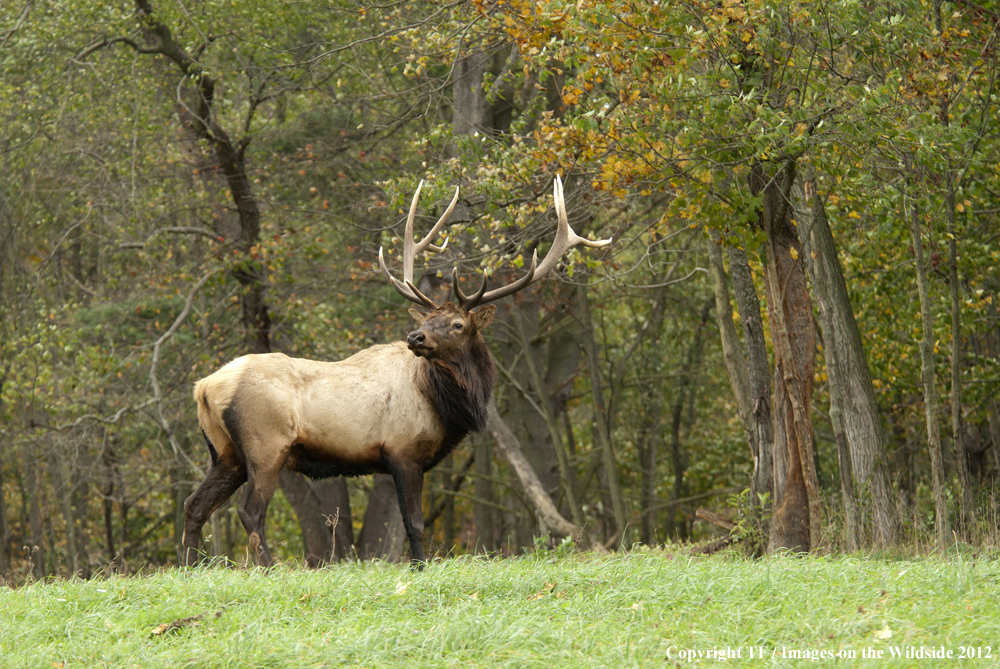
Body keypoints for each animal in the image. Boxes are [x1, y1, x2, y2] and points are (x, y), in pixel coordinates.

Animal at [184, 176, 612, 564]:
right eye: (432, 319)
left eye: (457, 324)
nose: (415, 336)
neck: (444, 405)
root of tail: (204, 387)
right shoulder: (403, 452)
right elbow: (415, 524)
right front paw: (420, 567)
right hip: (265, 445)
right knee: (250, 512)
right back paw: (268, 569)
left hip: (225, 453)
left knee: (194, 505)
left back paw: (190, 568)